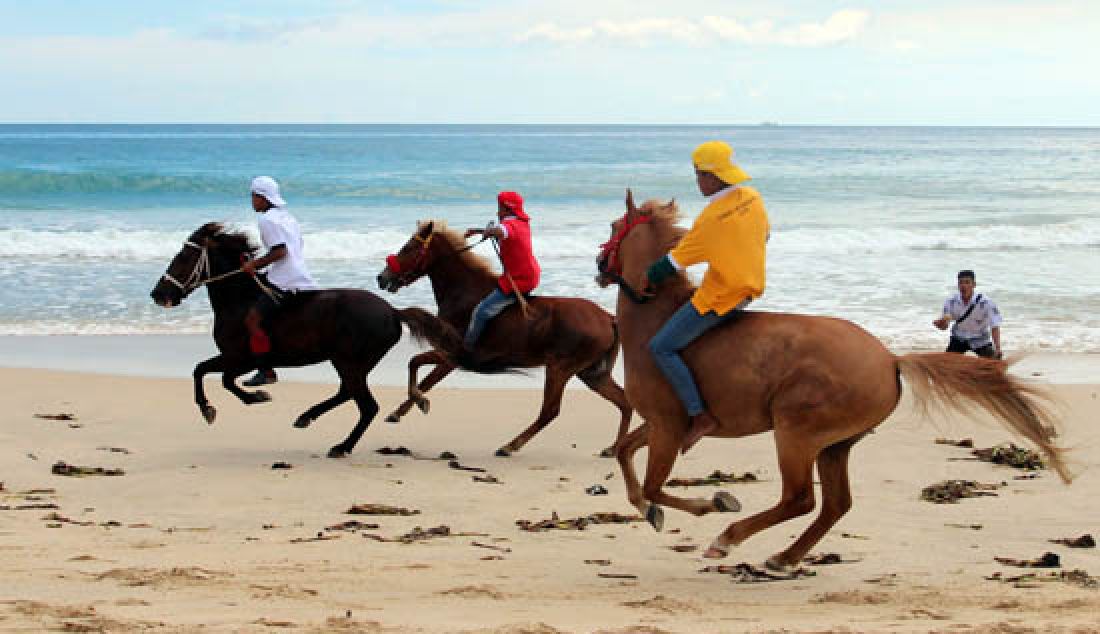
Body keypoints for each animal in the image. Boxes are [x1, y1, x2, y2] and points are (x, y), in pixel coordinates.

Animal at [148, 221, 402, 455]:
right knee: (348, 393)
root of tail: (393, 312)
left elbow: (219, 378)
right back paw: (307, 418)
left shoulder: (239, 359)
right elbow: (201, 370)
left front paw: (249, 398)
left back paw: (342, 446)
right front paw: (215, 406)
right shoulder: (233, 358)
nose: (157, 294)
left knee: (367, 406)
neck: (240, 299)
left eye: (183, 257)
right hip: (351, 363)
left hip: (348, 362)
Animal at [378, 220, 638, 457]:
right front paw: (401, 410)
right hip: (592, 373)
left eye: (408, 247)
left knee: (550, 411)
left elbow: (415, 364)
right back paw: (614, 448)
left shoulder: (451, 354)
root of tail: (609, 317)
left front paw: (417, 402)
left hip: (560, 368)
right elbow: (425, 380)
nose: (382, 278)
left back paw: (510, 445)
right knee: (624, 402)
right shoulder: (450, 359)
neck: (463, 293)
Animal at [598, 189, 1069, 567]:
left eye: (614, 226)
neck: (654, 320)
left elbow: (656, 483)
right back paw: (784, 559)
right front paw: (648, 511)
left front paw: (708, 503)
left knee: (800, 498)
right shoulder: (659, 423)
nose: (600, 265)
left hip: (795, 432)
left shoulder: (669, 426)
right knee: (834, 505)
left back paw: (729, 540)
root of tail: (890, 359)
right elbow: (623, 453)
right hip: (834, 444)